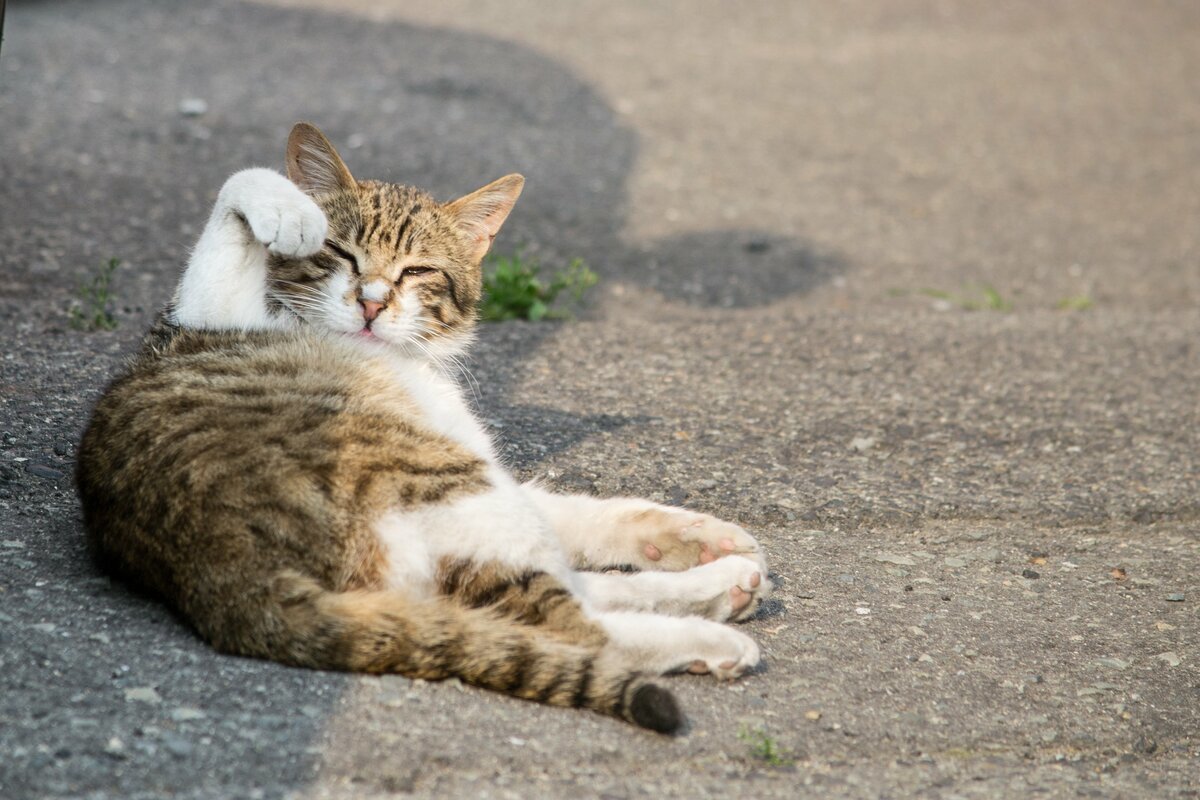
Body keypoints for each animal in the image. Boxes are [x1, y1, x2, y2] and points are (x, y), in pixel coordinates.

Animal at [77, 123, 768, 734]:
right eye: (340, 253)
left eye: (417, 271)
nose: (371, 302)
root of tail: (223, 571)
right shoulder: (208, 308)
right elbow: (233, 195)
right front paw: (288, 209)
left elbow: (586, 514)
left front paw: (695, 534)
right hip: (441, 477)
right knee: (565, 624)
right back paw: (709, 631)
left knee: (544, 597)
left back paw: (719, 583)